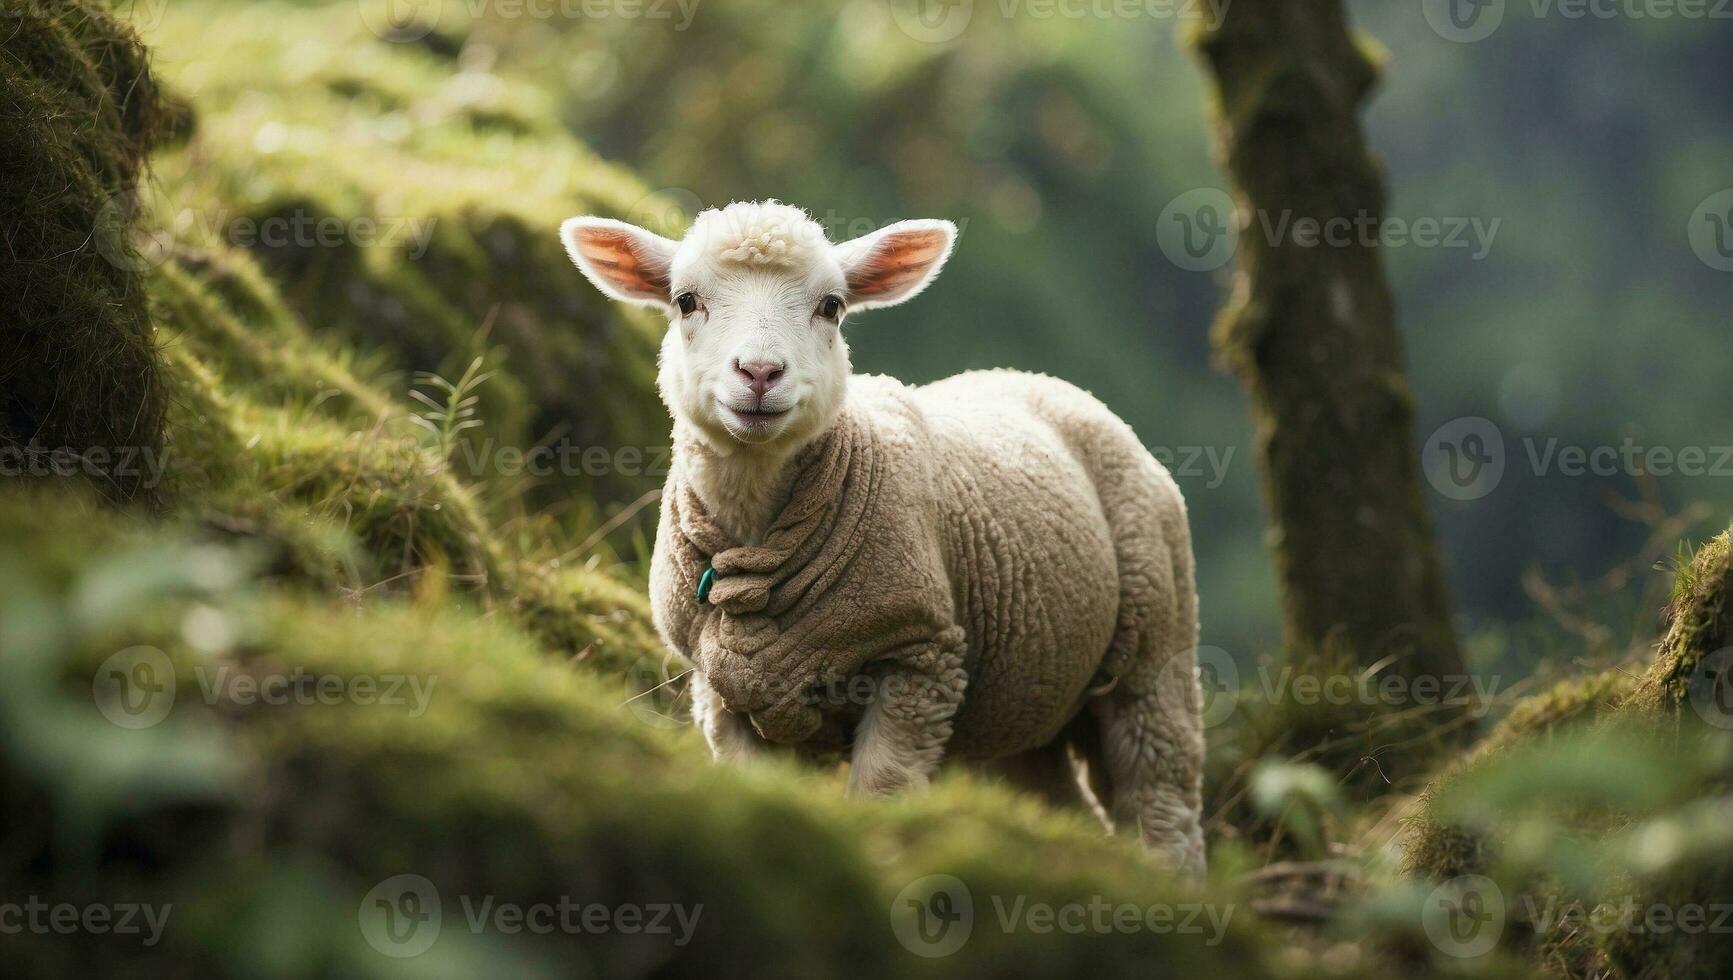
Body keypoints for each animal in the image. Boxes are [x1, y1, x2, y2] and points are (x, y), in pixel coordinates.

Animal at [558, 198, 1206, 870]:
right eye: (686, 301)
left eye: (831, 307)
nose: (760, 372)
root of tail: (1053, 383)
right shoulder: (721, 688)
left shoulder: (920, 657)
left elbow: (880, 791)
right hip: (1025, 694)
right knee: (1059, 798)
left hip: (1154, 645)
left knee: (1162, 802)